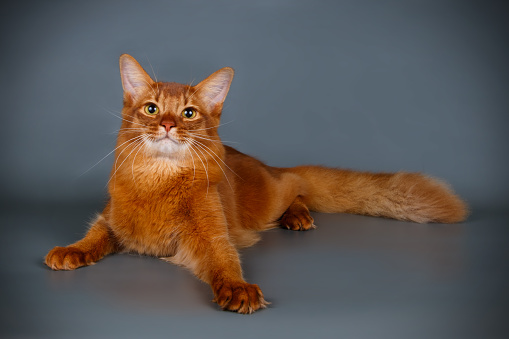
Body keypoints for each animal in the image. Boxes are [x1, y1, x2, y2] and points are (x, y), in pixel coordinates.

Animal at [44, 54, 468, 314]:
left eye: (188, 113)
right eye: (151, 108)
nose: (167, 124)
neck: (158, 182)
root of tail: (256, 160)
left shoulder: (210, 235)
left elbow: (224, 261)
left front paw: (237, 289)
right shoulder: (112, 221)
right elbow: (93, 237)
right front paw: (71, 251)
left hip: (269, 196)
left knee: (296, 183)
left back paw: (297, 216)